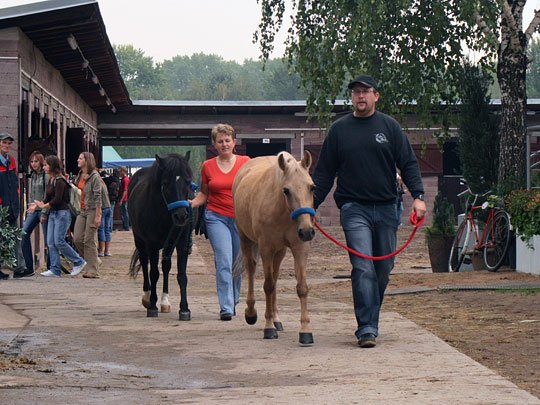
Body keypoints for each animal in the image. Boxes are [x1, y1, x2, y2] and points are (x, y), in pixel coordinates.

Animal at [127, 152, 195, 318]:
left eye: (188, 181)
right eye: (165, 182)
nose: (181, 216)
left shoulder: (181, 243)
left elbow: (181, 275)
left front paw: (184, 308)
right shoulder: (151, 244)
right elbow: (153, 273)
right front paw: (152, 305)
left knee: (166, 266)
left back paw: (165, 301)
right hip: (139, 240)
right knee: (145, 263)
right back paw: (147, 297)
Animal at [232, 151, 316, 344]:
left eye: (312, 187)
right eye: (286, 190)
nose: (307, 231)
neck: (282, 212)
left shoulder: (299, 247)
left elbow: (301, 287)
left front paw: (305, 331)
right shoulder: (266, 248)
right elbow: (268, 286)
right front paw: (268, 328)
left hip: (280, 251)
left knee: (275, 277)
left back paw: (277, 319)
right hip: (246, 240)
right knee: (251, 270)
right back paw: (252, 313)